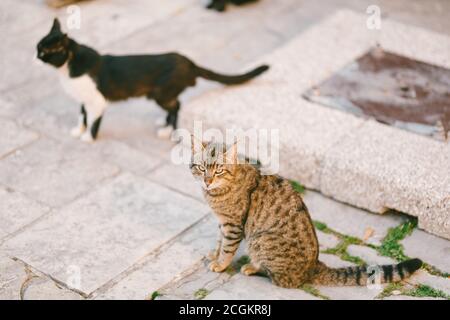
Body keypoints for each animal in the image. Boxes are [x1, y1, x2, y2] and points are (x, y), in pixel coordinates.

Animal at [36, 18, 268, 141]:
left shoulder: (98, 100)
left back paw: (168, 131)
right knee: (175, 104)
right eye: (37, 48)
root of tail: (189, 62)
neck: (67, 70)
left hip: (160, 94)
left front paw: (88, 138)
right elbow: (82, 114)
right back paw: (163, 122)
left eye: (44, 53)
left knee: (177, 105)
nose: (34, 57)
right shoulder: (84, 99)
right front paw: (78, 130)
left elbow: (94, 119)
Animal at [191, 139, 422, 288]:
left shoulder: (233, 225)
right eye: (202, 169)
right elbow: (220, 241)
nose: (207, 181)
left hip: (260, 240)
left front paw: (220, 264)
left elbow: (227, 248)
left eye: (219, 170)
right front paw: (214, 254)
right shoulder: (223, 222)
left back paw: (252, 267)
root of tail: (314, 267)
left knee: (282, 280)